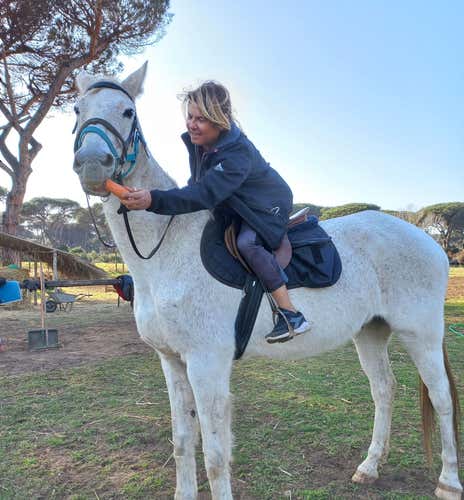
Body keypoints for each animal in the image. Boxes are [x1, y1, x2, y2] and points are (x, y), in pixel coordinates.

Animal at [72, 63, 462, 500]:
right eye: (77, 109)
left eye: (127, 112)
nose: (92, 163)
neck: (168, 248)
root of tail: (427, 239)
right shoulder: (172, 361)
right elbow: (183, 441)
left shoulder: (207, 363)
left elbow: (215, 456)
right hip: (371, 332)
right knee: (385, 390)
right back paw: (370, 467)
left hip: (421, 334)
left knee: (442, 397)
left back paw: (448, 481)